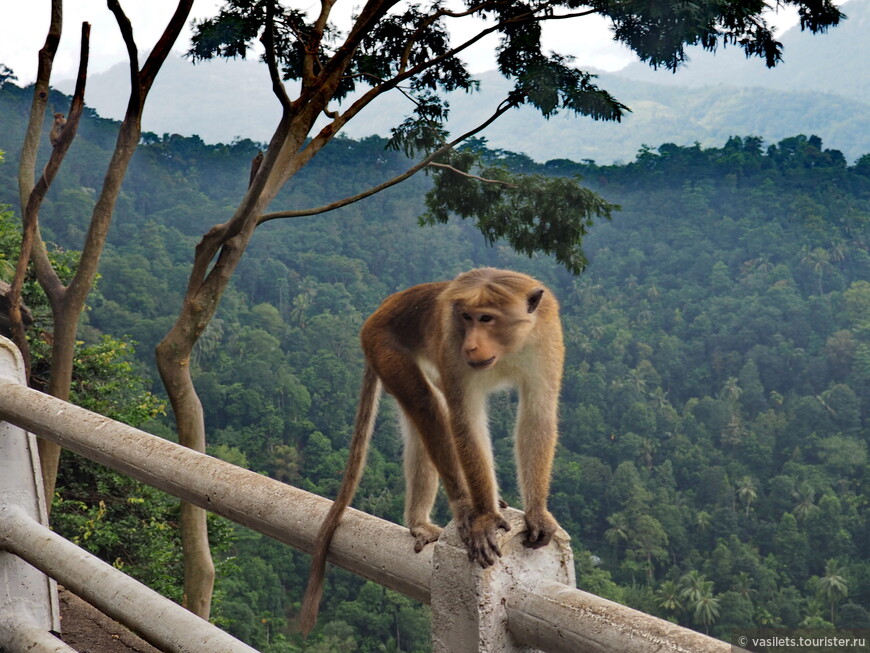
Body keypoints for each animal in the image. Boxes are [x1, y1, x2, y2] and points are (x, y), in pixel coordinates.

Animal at [302, 264, 564, 632]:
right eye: (466, 317)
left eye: (486, 318)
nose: (471, 345)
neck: (507, 349)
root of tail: (381, 308)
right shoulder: (452, 345)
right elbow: (464, 420)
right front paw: (483, 516)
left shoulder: (546, 335)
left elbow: (538, 414)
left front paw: (537, 511)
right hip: (384, 345)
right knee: (429, 406)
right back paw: (459, 508)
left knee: (426, 415)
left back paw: (425, 518)